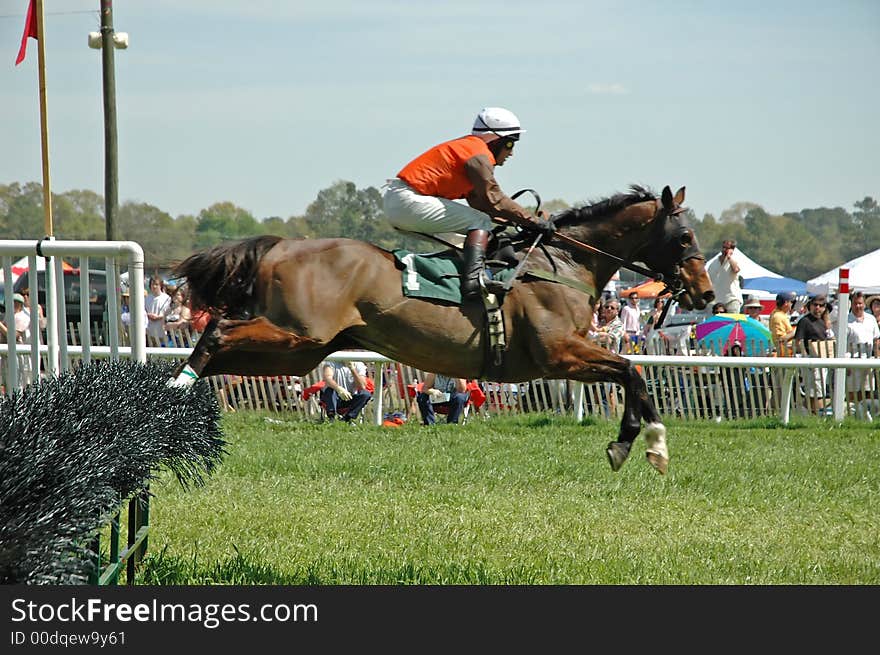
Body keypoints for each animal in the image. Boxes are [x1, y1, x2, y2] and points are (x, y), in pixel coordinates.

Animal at [172, 184, 716, 472]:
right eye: (684, 236)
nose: (706, 293)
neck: (564, 263)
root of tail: (282, 244)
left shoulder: (567, 355)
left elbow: (631, 374)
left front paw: (647, 445)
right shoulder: (558, 353)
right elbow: (631, 371)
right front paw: (643, 445)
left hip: (301, 349)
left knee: (222, 347)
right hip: (300, 336)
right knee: (217, 332)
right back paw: (175, 392)